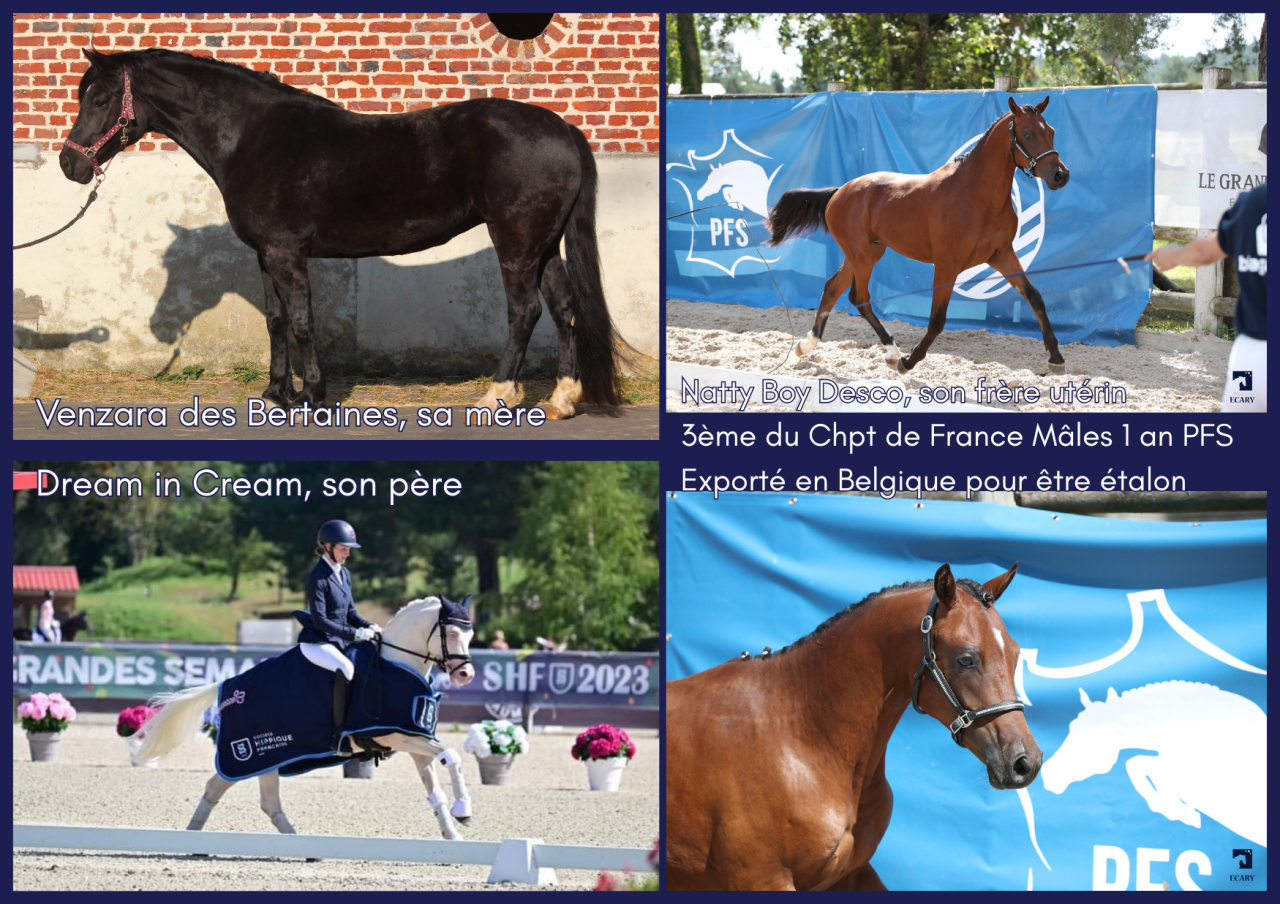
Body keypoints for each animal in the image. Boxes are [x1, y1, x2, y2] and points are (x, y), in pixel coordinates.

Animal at [59, 47, 625, 419]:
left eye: (101, 98)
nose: (70, 164)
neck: (249, 136)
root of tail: (563, 129)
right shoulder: (265, 255)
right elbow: (276, 321)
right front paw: (274, 394)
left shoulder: (287, 252)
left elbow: (304, 321)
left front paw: (313, 395)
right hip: (544, 246)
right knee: (565, 307)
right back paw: (562, 399)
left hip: (516, 242)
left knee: (525, 312)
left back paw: (497, 396)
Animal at [135, 597, 478, 840]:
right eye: (451, 632)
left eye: (470, 633)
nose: (466, 675)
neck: (397, 662)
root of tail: (228, 686)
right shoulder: (393, 734)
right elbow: (452, 755)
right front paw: (464, 810)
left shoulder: (414, 740)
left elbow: (436, 792)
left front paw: (453, 834)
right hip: (252, 754)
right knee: (226, 790)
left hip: (267, 758)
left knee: (253, 799)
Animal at [665, 563, 1042, 890]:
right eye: (966, 659)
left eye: (1014, 654)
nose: (1026, 762)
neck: (805, 738)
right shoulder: (763, 880)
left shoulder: (852, 874)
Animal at [767, 96, 1071, 375]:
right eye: (1028, 134)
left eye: (1052, 131)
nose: (1060, 175)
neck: (976, 195)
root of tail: (839, 191)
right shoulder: (947, 265)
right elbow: (937, 320)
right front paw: (908, 362)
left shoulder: (1002, 254)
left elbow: (1034, 297)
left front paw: (1056, 357)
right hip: (861, 253)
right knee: (859, 296)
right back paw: (892, 352)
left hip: (868, 251)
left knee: (832, 288)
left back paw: (805, 346)